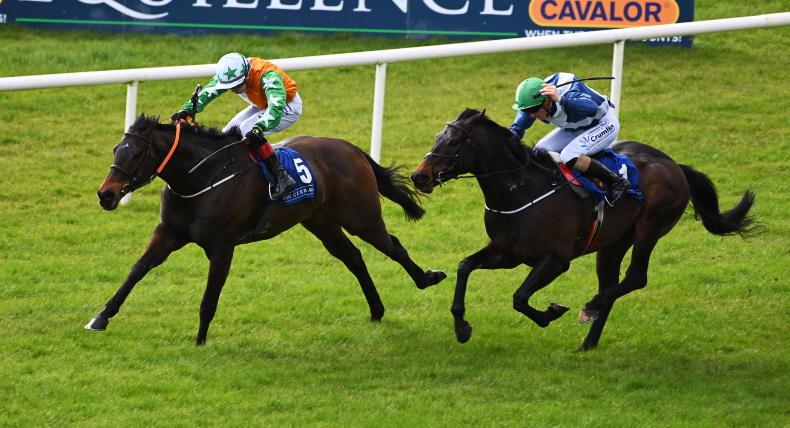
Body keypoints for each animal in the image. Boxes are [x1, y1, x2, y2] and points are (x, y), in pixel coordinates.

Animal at [88, 114, 446, 345]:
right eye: (116, 150)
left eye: (136, 153)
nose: (106, 194)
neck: (200, 178)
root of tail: (351, 148)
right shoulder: (168, 233)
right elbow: (137, 270)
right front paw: (101, 317)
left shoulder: (222, 245)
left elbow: (210, 295)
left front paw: (200, 340)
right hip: (320, 221)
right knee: (353, 257)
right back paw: (376, 309)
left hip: (362, 217)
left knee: (393, 245)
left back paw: (427, 278)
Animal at [410, 109, 757, 351]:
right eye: (437, 136)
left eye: (453, 141)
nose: (419, 176)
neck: (520, 188)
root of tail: (675, 166)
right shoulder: (507, 253)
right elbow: (465, 266)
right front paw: (462, 327)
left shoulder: (556, 259)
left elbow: (520, 297)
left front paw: (550, 313)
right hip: (614, 242)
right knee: (611, 285)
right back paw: (588, 341)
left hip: (650, 227)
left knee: (636, 277)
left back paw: (589, 308)